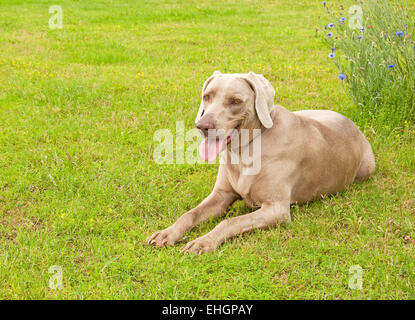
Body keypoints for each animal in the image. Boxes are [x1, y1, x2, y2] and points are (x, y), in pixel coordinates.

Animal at [147, 71, 376, 254]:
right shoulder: (221, 195)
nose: (202, 126)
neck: (243, 152)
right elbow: (189, 214)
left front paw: (203, 241)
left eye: (235, 101)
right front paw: (167, 233)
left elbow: (230, 221)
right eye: (207, 96)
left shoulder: (276, 209)